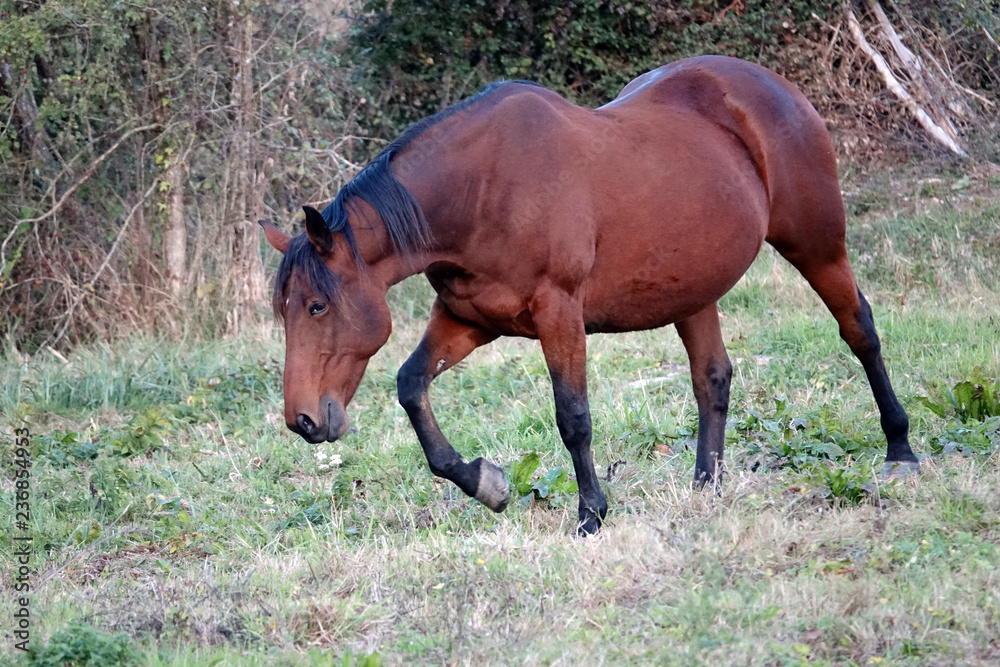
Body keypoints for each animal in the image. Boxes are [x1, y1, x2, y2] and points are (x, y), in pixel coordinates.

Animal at [260, 55, 919, 536]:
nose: (303, 421)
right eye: (285, 312)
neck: (482, 189)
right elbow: (411, 386)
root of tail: (772, 87)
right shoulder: (468, 319)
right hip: (693, 289)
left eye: (317, 306)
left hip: (818, 246)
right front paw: (486, 483)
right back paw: (706, 487)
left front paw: (591, 516)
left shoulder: (559, 312)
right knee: (712, 377)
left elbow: (572, 417)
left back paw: (900, 450)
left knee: (860, 331)